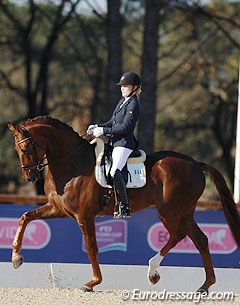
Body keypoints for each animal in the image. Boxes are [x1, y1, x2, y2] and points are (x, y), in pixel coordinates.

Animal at [7, 116, 240, 292]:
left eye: (26, 147)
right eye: (16, 149)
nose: (29, 176)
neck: (71, 162)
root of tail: (195, 163)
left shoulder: (84, 215)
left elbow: (92, 247)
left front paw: (93, 282)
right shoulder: (58, 209)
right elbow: (25, 217)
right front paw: (16, 258)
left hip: (169, 212)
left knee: (178, 235)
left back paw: (153, 272)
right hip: (185, 212)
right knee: (200, 240)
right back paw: (205, 285)